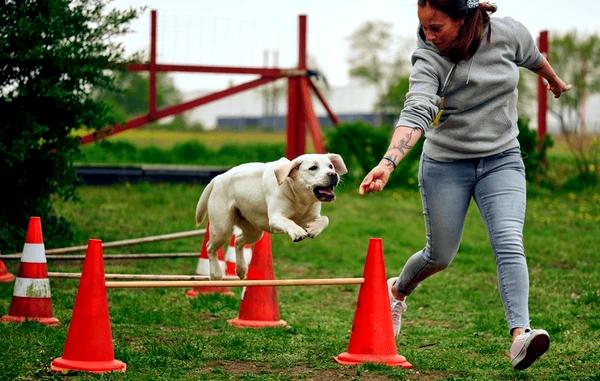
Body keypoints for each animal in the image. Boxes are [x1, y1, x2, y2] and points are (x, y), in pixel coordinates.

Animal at [197, 152, 346, 280]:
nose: (333, 174)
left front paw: (314, 229)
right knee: (210, 247)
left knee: (238, 241)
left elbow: (325, 219)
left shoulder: (309, 217)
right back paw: (216, 274)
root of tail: (218, 178)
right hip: (222, 228)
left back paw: (241, 269)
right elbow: (289, 222)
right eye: (313, 168)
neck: (298, 197)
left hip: (254, 232)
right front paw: (297, 232)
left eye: (330, 166)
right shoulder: (275, 218)